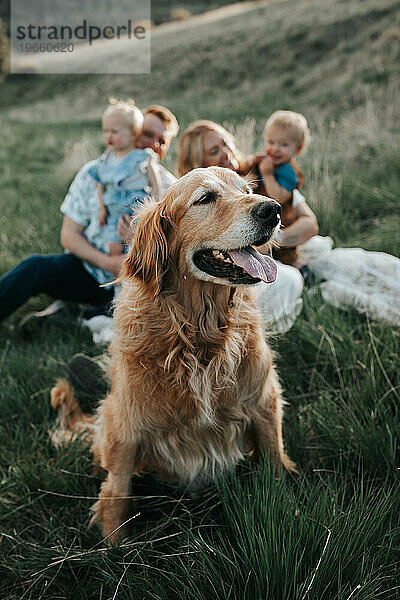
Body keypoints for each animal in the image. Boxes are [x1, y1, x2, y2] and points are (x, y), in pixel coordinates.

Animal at [50, 165, 296, 544]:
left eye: (245, 190)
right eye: (205, 198)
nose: (273, 210)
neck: (198, 334)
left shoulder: (263, 401)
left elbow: (274, 461)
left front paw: (285, 510)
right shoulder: (127, 424)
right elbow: (117, 491)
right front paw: (114, 547)